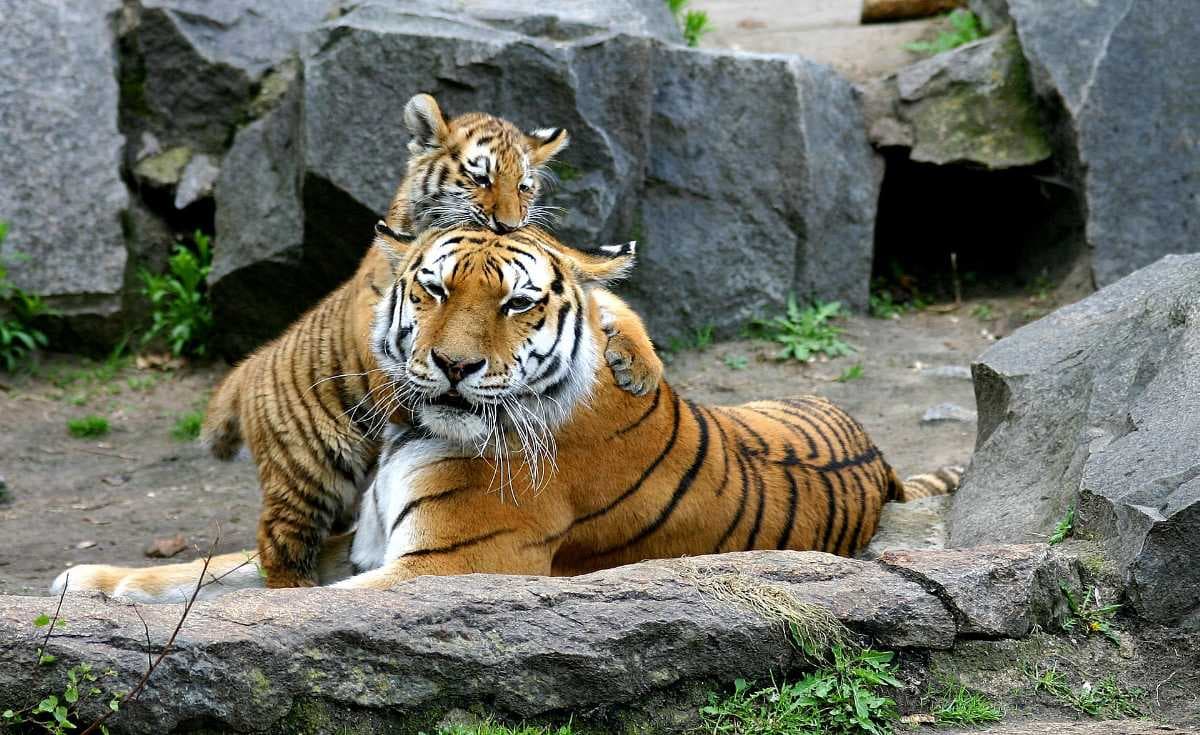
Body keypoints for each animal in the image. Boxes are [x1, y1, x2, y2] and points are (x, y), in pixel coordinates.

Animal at [53, 225, 959, 602]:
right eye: (433, 288)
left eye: (518, 303)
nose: (453, 366)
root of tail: (882, 461)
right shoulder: (356, 542)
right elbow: (211, 569)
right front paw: (88, 583)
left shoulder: (444, 565)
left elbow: (273, 604)